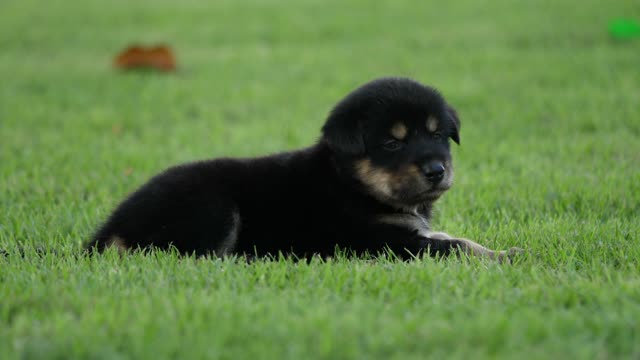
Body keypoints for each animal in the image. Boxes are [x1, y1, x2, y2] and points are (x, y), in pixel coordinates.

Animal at [87, 77, 520, 260]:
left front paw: (506, 251)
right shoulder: (382, 241)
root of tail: (109, 230)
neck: (350, 184)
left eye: (439, 135)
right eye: (392, 143)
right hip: (212, 206)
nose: (436, 170)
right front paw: (503, 257)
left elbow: (454, 238)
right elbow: (454, 245)